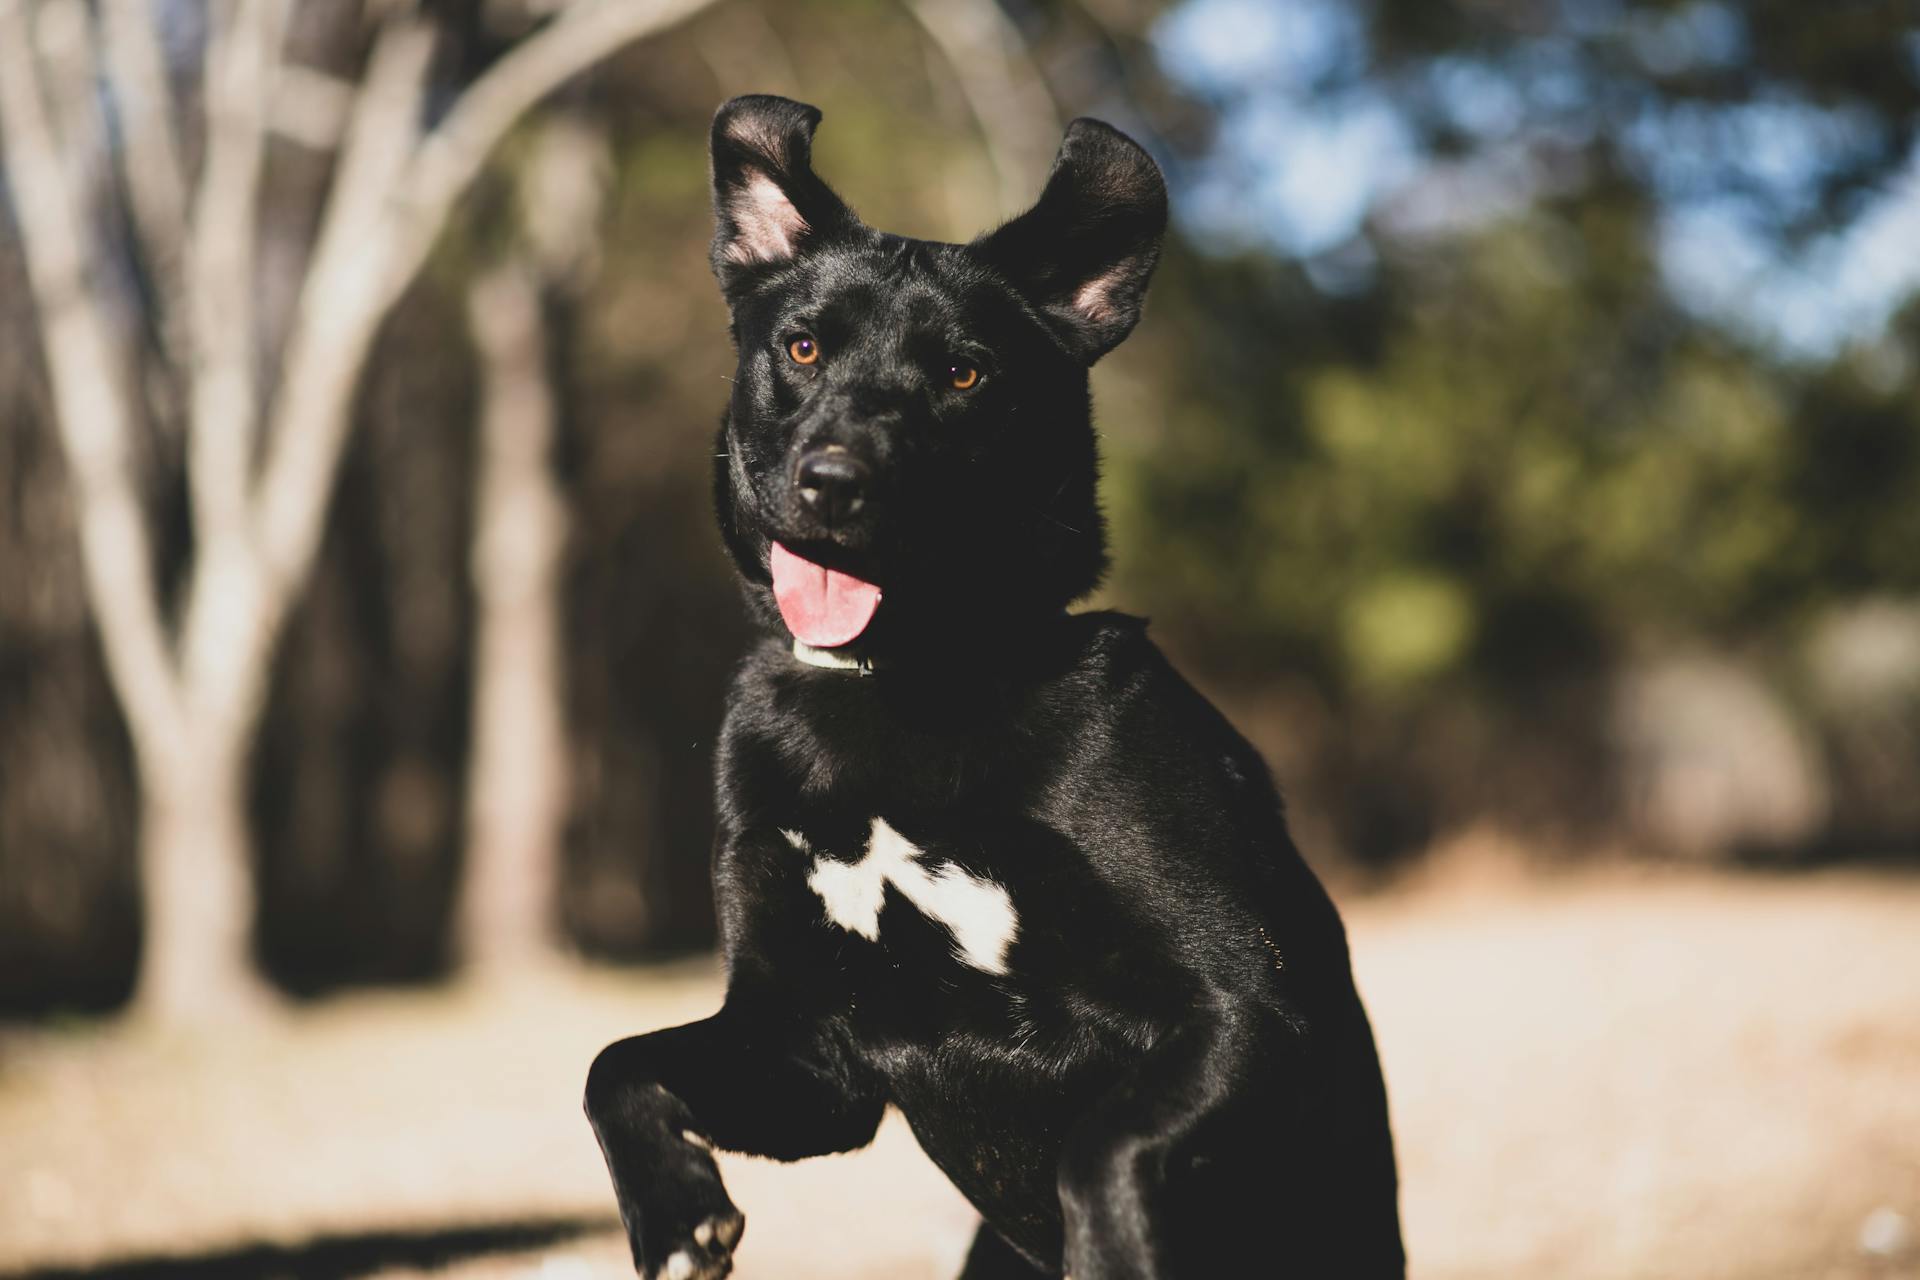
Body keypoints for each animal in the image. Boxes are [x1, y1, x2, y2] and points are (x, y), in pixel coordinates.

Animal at [576, 97, 1405, 1280]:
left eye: (966, 374)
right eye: (802, 345)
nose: (835, 483)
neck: (901, 680)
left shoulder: (1241, 1010)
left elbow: (1103, 1150)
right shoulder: (812, 1055)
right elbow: (617, 1061)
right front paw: (676, 1212)